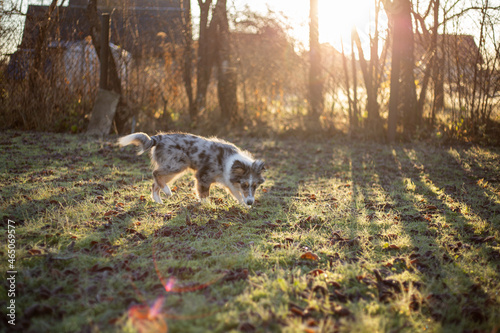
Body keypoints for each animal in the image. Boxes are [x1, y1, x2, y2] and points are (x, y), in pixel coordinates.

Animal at [118, 132, 266, 205]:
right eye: (245, 184)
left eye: (255, 186)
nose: (251, 202)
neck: (229, 162)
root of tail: (159, 138)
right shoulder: (203, 176)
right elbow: (204, 193)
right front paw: (207, 205)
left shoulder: (230, 183)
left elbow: (238, 195)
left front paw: (244, 205)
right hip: (178, 164)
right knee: (156, 173)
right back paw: (167, 191)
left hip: (173, 167)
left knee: (155, 184)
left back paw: (158, 201)